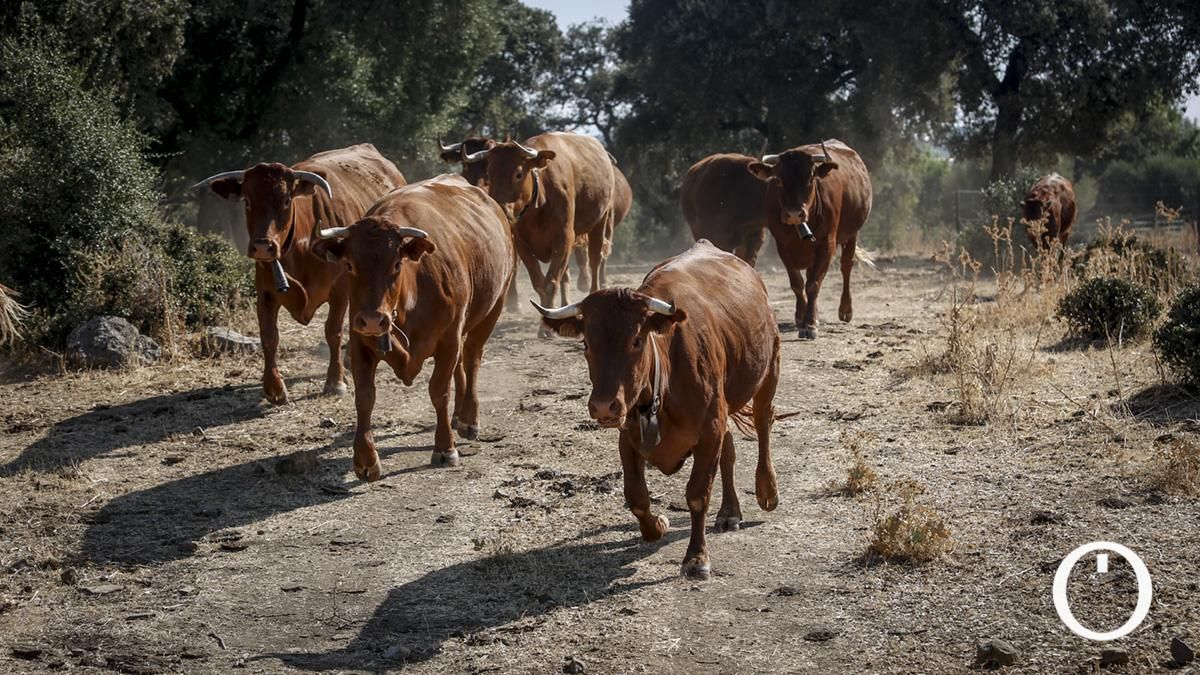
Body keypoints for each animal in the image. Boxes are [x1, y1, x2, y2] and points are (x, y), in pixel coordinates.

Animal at [194, 144, 405, 404]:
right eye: (247, 201)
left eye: (286, 200)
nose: (262, 246)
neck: (303, 244)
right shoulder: (265, 292)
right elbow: (269, 337)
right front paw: (274, 387)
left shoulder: (341, 289)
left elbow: (333, 331)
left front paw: (335, 381)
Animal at [310, 174, 514, 481]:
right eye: (350, 265)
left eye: (396, 264)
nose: (373, 319)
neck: (409, 298)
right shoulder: (359, 342)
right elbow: (365, 396)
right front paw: (365, 459)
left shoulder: (448, 339)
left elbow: (439, 390)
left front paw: (445, 448)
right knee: (461, 364)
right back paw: (458, 415)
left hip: (494, 306)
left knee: (472, 356)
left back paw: (468, 417)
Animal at [461, 133, 618, 321]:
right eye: (490, 174)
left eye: (518, 174)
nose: (499, 208)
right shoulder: (522, 243)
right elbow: (539, 282)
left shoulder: (564, 237)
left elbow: (550, 282)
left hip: (601, 221)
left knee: (594, 260)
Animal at [535, 240, 782, 579]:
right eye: (586, 344)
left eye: (637, 340)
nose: (603, 405)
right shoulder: (630, 436)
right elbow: (636, 496)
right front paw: (658, 525)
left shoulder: (709, 430)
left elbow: (697, 494)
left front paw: (697, 557)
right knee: (729, 452)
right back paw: (729, 512)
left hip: (768, 372)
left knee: (763, 424)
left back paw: (767, 490)